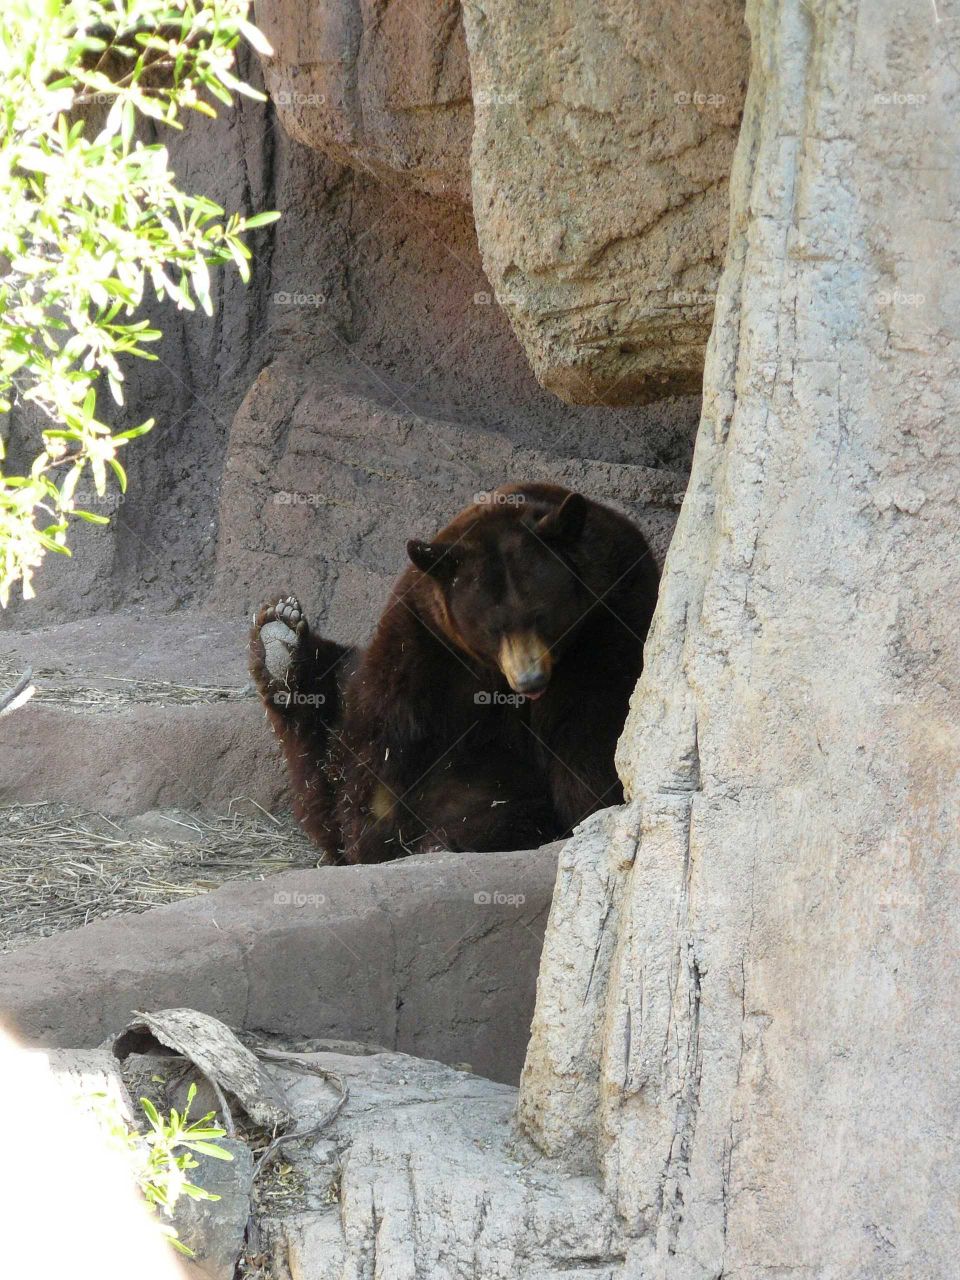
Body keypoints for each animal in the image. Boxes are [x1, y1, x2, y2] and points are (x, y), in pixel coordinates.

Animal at [248, 482, 659, 864]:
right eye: (492, 628)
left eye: (541, 615)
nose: (530, 680)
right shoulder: (424, 639)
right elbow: (375, 737)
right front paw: (376, 820)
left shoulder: (610, 623)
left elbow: (593, 729)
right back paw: (281, 644)